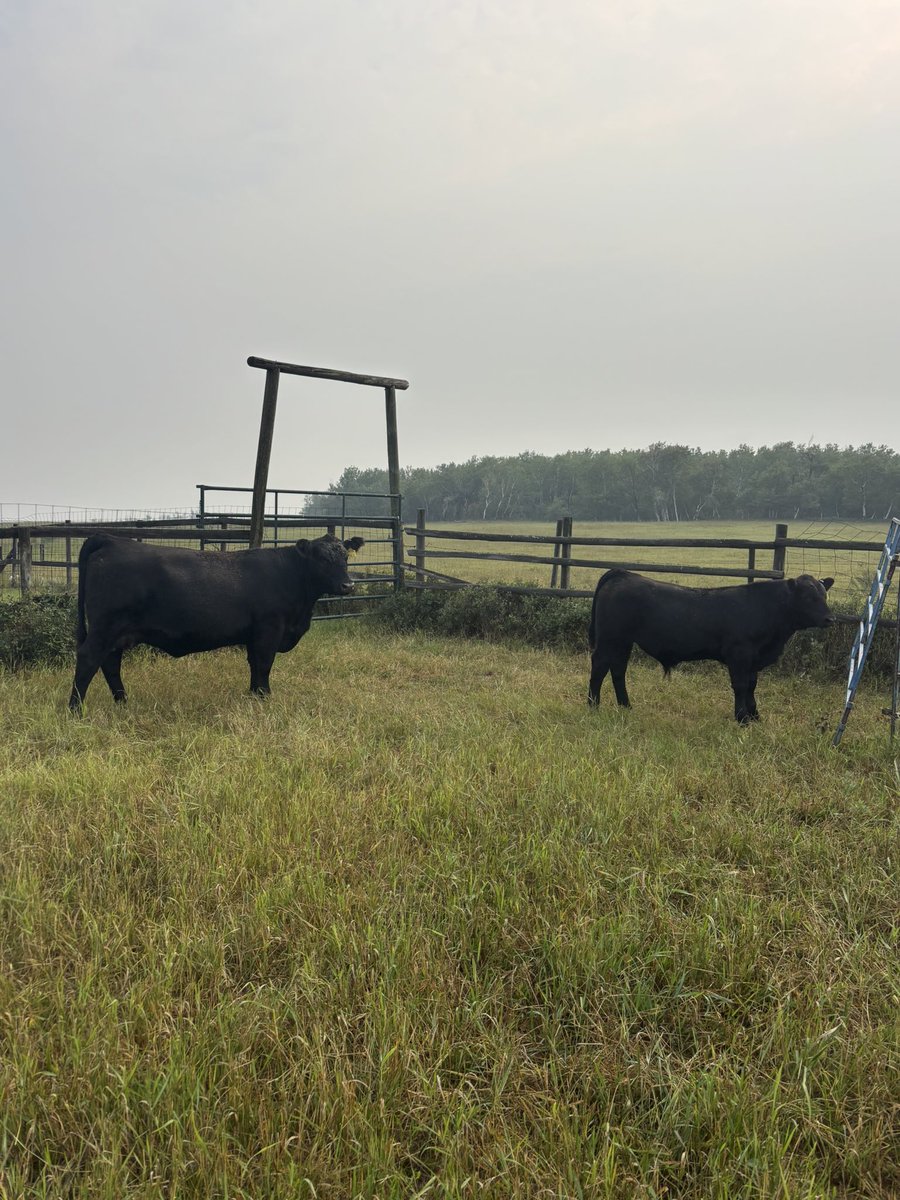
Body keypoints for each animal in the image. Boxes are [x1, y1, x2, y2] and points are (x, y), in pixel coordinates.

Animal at [68, 532, 364, 710]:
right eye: (322, 559)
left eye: (345, 556)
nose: (348, 585)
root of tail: (111, 539)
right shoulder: (269, 629)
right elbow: (264, 664)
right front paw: (264, 698)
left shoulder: (254, 635)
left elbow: (254, 665)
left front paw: (254, 695)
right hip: (105, 628)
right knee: (88, 660)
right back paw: (76, 709)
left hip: (116, 633)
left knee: (110, 664)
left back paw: (123, 702)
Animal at [587, 569, 834, 723]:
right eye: (808, 597)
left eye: (824, 595)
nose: (830, 619)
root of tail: (623, 574)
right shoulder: (739, 655)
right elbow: (741, 686)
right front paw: (742, 718)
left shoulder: (753, 659)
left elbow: (752, 686)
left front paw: (755, 716)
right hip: (611, 639)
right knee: (599, 667)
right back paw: (593, 706)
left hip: (623, 642)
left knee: (618, 670)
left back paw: (625, 706)